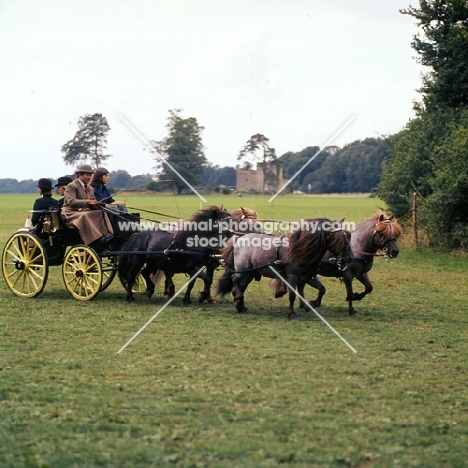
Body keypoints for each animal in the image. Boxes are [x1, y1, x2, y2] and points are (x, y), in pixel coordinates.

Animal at [218, 218, 352, 320]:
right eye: (337, 238)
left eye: (348, 237)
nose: (350, 258)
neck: (300, 250)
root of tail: (239, 238)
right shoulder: (292, 277)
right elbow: (292, 295)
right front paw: (292, 314)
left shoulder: (309, 277)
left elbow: (321, 289)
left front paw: (311, 304)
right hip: (242, 270)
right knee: (234, 279)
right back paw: (238, 300)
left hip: (249, 273)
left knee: (240, 285)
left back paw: (240, 305)